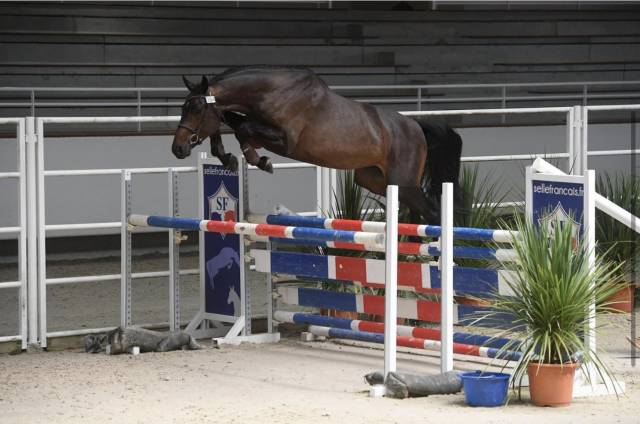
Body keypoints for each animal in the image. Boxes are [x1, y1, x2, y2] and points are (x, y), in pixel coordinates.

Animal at [171, 66, 462, 224]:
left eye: (196, 108)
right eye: (183, 107)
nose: (178, 148)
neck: (271, 92)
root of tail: (416, 126)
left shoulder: (285, 141)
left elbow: (242, 128)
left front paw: (260, 161)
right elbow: (229, 121)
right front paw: (227, 157)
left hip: (403, 181)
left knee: (433, 213)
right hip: (376, 180)